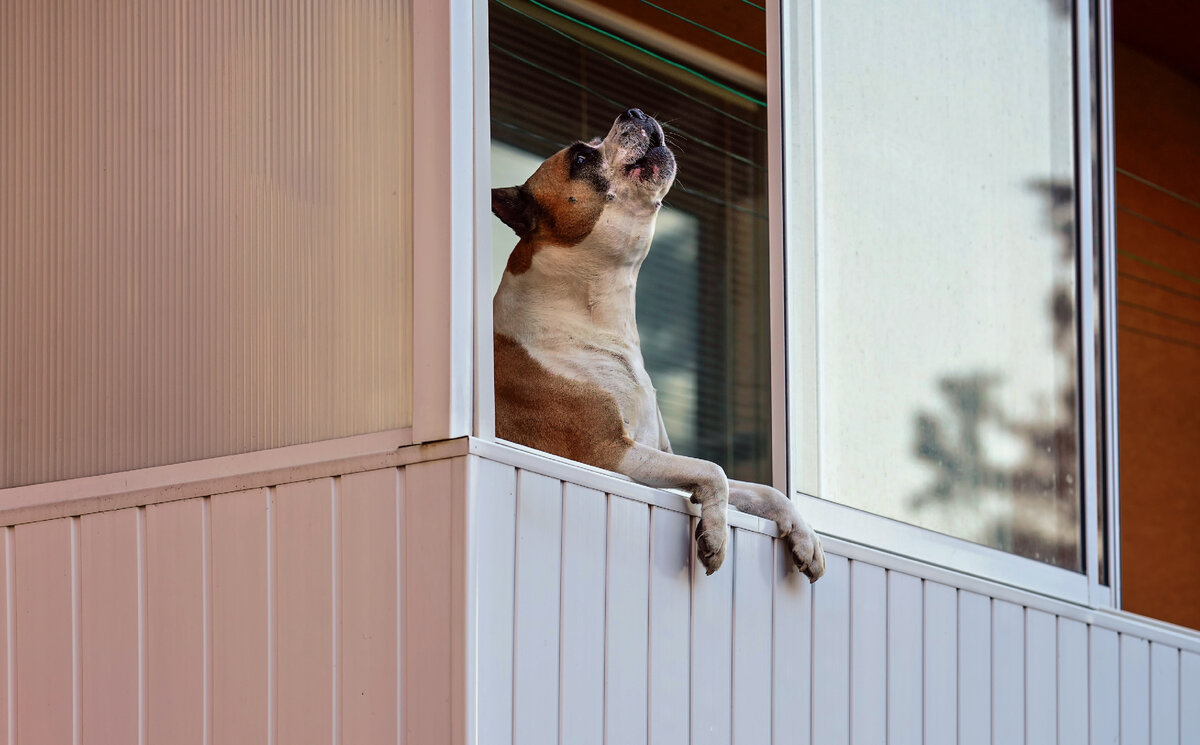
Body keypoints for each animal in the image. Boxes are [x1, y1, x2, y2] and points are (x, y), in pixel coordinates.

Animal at [489, 106, 825, 580]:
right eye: (579, 158)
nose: (634, 111)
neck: (597, 315)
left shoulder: (653, 454)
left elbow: (763, 489)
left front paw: (806, 537)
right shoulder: (609, 454)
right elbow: (715, 470)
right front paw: (716, 534)